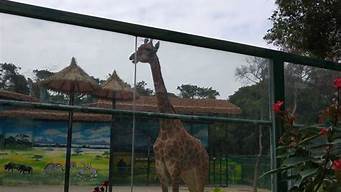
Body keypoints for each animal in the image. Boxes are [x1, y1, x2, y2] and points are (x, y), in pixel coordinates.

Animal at [128, 39, 207, 192]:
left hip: (200, 173)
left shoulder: (175, 170)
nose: (132, 57)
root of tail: (205, 151)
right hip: (189, 176)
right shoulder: (160, 171)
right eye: (139, 47)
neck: (165, 128)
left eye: (148, 49)